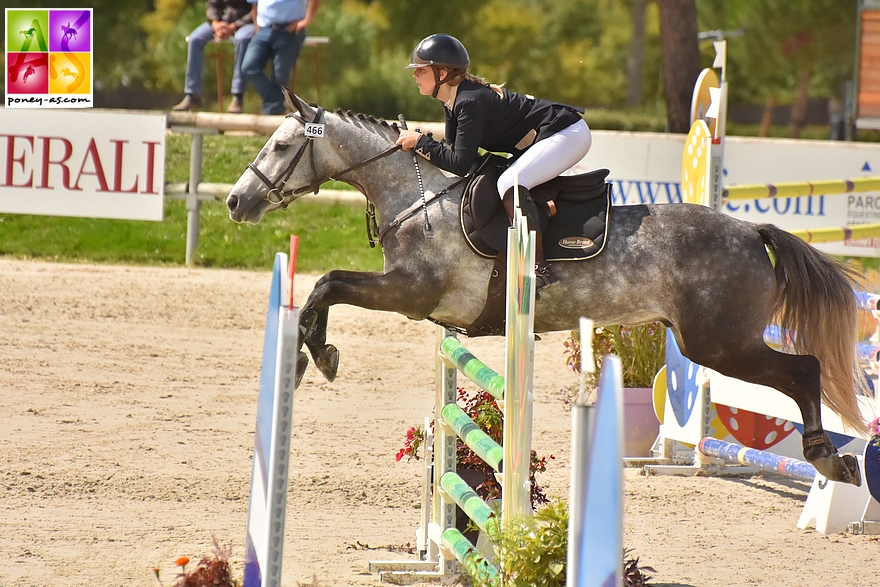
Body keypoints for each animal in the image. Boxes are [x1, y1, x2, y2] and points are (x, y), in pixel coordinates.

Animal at [223, 88, 868, 486]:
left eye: (282, 146)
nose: (236, 202)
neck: (417, 198)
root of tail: (751, 230)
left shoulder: (409, 294)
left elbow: (328, 284)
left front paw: (317, 356)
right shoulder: (408, 296)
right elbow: (326, 284)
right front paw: (309, 356)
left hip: (720, 343)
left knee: (804, 371)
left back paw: (829, 460)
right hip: (709, 342)